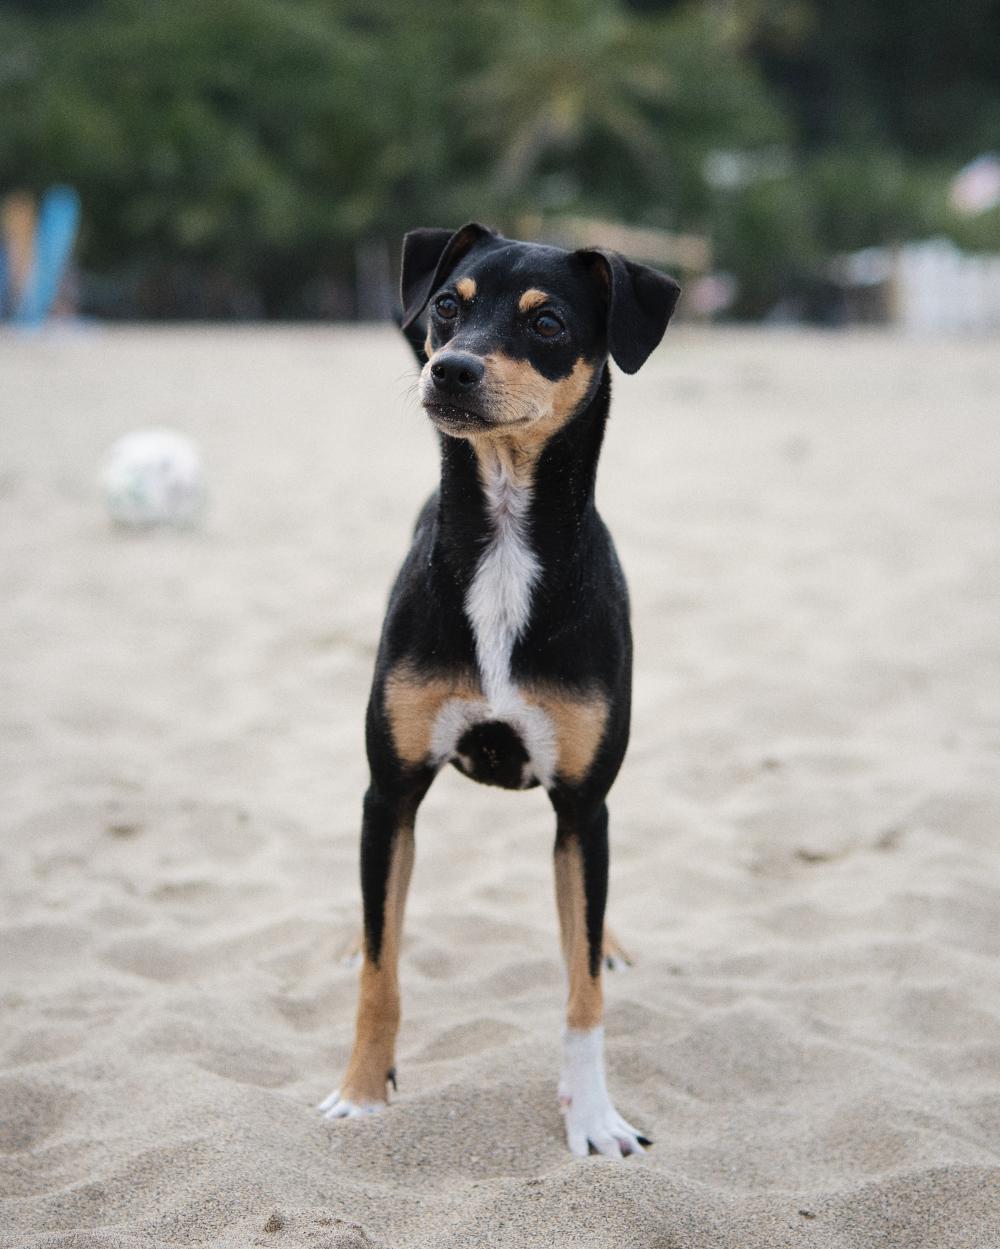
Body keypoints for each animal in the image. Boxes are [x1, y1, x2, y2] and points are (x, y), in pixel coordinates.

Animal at [319, 224, 679, 1159]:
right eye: (450, 305)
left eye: (547, 322)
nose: (450, 368)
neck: (507, 541)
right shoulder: (390, 791)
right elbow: (382, 967)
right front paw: (361, 1091)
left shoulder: (583, 804)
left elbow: (583, 987)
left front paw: (594, 1119)